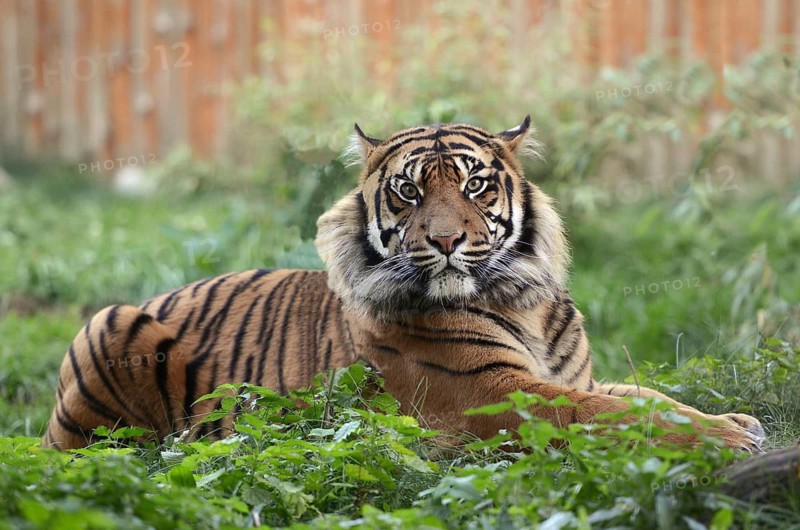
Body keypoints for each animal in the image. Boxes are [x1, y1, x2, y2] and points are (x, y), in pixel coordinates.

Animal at [43, 117, 766, 453]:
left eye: (475, 185)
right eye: (408, 191)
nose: (445, 241)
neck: (523, 301)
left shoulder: (569, 375)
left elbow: (647, 396)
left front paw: (737, 422)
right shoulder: (489, 391)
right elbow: (607, 414)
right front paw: (726, 440)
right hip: (107, 324)